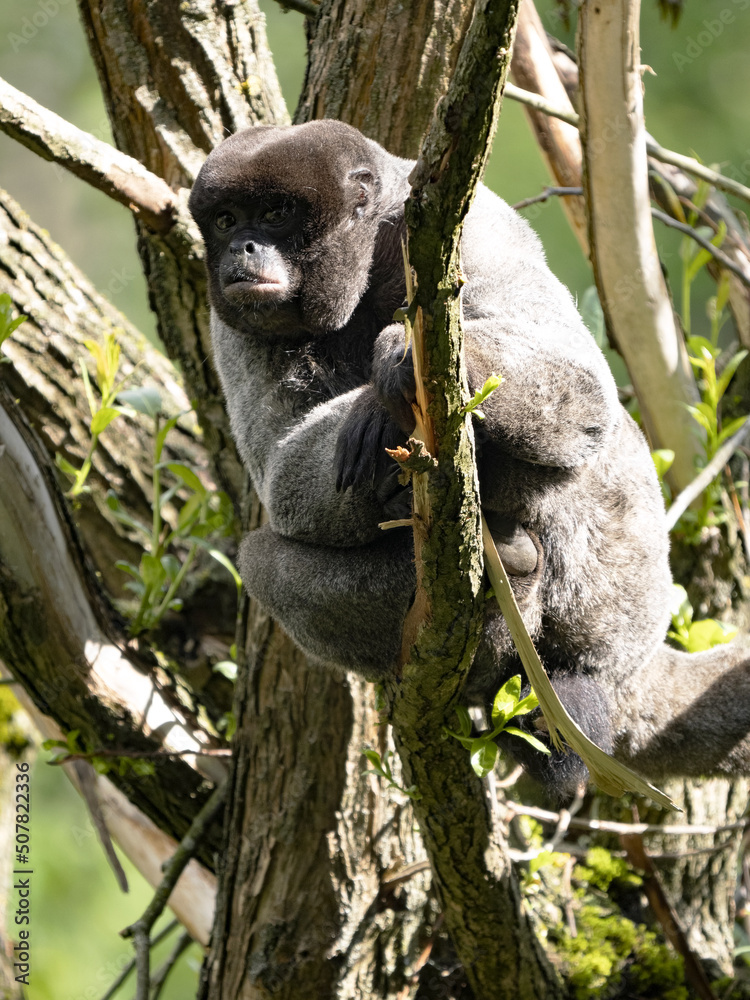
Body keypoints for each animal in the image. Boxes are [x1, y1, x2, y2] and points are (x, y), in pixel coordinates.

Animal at [188, 119, 680, 799]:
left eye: (278, 214)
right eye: (227, 218)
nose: (243, 248)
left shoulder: (475, 230)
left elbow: (580, 382)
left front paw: (390, 367)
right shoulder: (228, 320)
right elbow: (278, 476)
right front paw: (375, 419)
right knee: (260, 558)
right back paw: (503, 578)